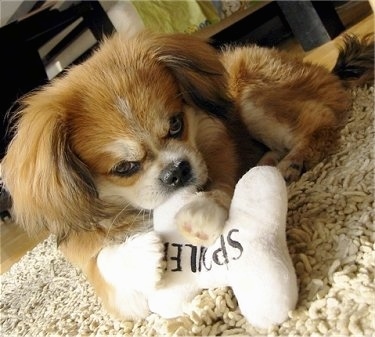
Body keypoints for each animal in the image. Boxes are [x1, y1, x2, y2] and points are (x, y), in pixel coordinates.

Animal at [1, 31, 374, 318]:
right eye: (125, 168)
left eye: (176, 124)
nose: (177, 170)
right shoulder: (118, 297)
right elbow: (105, 261)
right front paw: (142, 256)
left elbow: (219, 191)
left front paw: (199, 211)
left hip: (252, 95)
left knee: (318, 121)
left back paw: (293, 161)